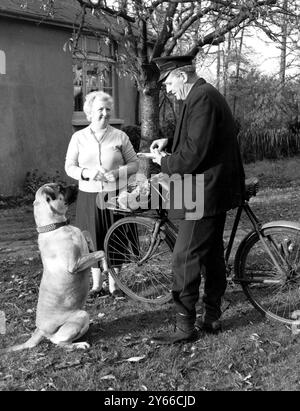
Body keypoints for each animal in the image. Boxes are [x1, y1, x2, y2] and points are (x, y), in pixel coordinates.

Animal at [0, 184, 106, 354]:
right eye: (61, 188)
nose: (77, 184)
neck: (53, 228)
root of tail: (40, 330)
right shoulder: (74, 265)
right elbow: (100, 251)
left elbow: (90, 239)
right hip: (81, 315)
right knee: (59, 342)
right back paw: (79, 345)